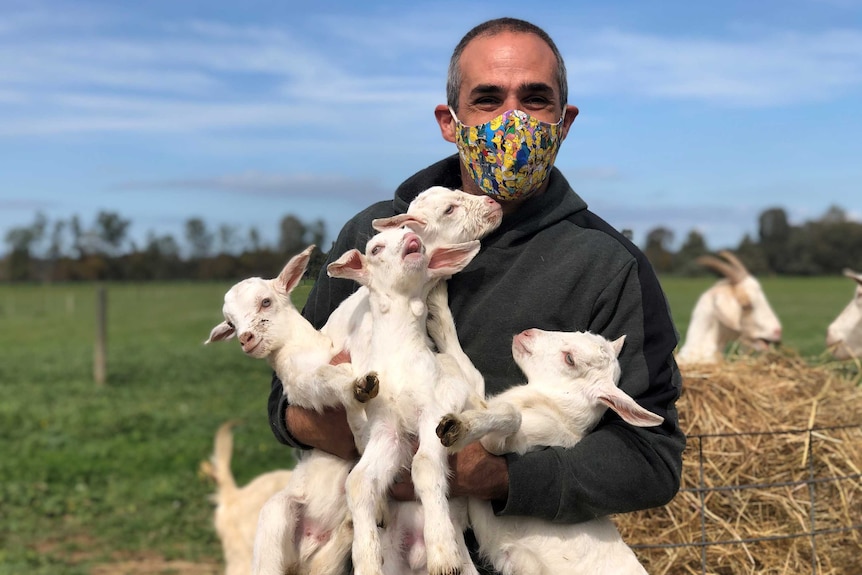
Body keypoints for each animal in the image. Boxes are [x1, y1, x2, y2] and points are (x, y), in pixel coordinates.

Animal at [328, 227, 486, 575]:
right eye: (375, 248)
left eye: (421, 243)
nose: (412, 236)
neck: (400, 357)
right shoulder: (388, 430)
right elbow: (358, 481)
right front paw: (366, 560)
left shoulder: (435, 412)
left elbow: (425, 465)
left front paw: (442, 555)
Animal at [436, 328, 664, 575]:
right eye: (581, 332)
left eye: (570, 359)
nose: (527, 333)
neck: (554, 412)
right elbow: (470, 371)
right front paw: (439, 323)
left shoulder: (505, 443)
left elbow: (510, 414)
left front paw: (458, 428)